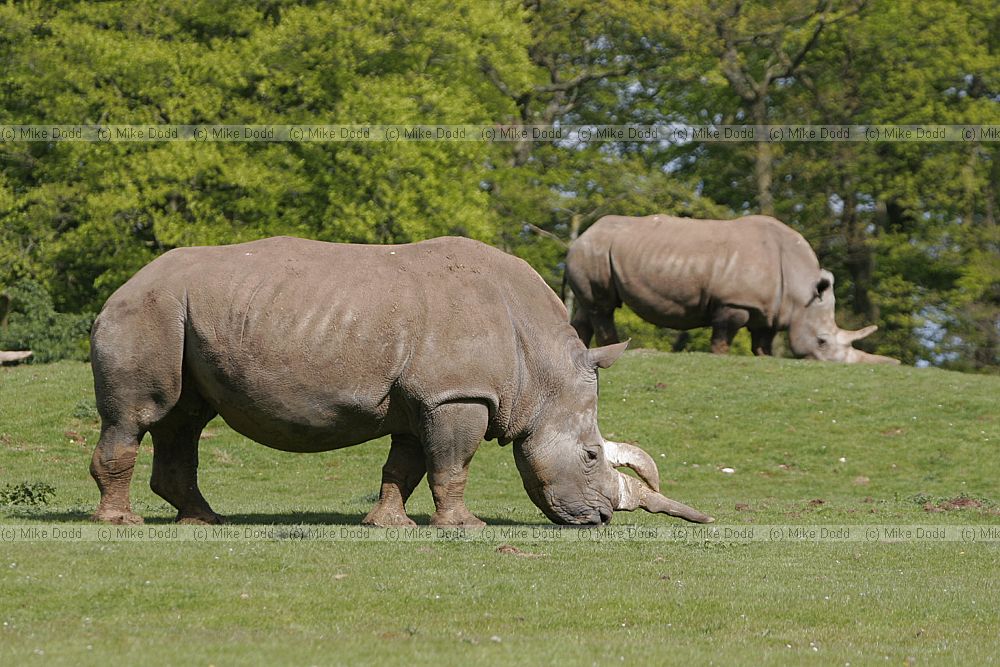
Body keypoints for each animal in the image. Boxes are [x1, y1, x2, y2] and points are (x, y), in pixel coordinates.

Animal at [89, 236, 712, 527]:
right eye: (588, 456)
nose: (600, 518)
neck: (540, 367)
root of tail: (119, 289)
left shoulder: (426, 399)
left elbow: (406, 465)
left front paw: (388, 523)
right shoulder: (457, 394)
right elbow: (453, 464)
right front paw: (465, 526)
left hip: (180, 314)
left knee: (184, 418)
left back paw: (204, 519)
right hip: (147, 312)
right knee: (139, 415)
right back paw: (122, 521)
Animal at [566, 215, 899, 364]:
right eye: (822, 341)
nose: (838, 365)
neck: (801, 291)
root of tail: (582, 234)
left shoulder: (769, 311)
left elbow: (762, 344)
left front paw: (764, 359)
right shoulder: (736, 304)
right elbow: (723, 339)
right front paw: (720, 357)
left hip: (594, 251)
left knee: (585, 309)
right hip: (594, 251)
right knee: (602, 307)